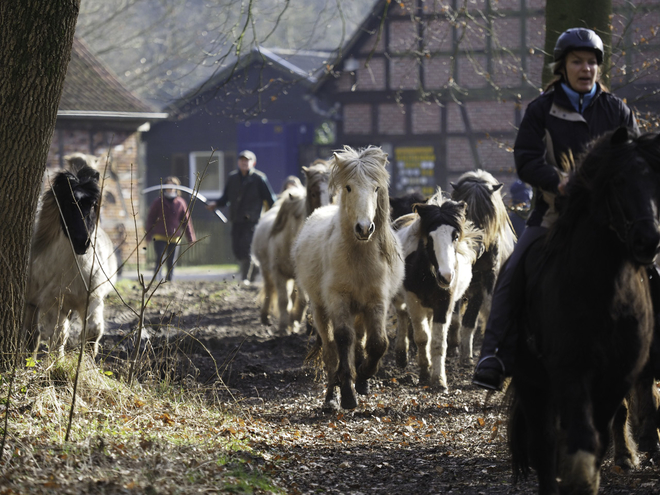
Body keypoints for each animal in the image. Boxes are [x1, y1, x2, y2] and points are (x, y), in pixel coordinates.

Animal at [23, 154, 117, 356]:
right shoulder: (53, 303)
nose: (83, 242)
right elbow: (57, 336)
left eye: (93, 204)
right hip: (32, 303)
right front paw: (56, 361)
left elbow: (92, 331)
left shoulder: (92, 298)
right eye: (68, 204)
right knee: (32, 336)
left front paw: (87, 361)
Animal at [251, 161, 332, 336]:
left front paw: (294, 320)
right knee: (269, 289)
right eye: (313, 193)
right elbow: (283, 300)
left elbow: (301, 299)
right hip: (266, 270)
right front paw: (283, 326)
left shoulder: (302, 275)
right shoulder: (278, 273)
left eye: (332, 193)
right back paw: (266, 317)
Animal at [292, 146, 402, 410]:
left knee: (361, 339)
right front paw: (347, 393)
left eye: (376, 188)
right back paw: (331, 396)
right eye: (349, 187)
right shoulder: (338, 300)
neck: (358, 257)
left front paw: (363, 376)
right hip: (321, 309)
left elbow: (378, 343)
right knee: (331, 349)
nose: (364, 228)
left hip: (360, 310)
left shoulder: (376, 301)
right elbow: (343, 339)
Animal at [392, 190, 480, 392]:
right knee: (401, 315)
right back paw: (401, 355)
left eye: (455, 236)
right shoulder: (413, 300)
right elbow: (422, 337)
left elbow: (438, 342)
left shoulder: (444, 302)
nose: (446, 276)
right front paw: (425, 371)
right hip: (400, 299)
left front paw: (439, 379)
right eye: (430, 238)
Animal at [448, 170, 516, 364]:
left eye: (487, 214)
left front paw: (466, 355)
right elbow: (455, 318)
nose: (473, 247)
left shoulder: (482, 284)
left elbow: (469, 321)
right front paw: (453, 346)